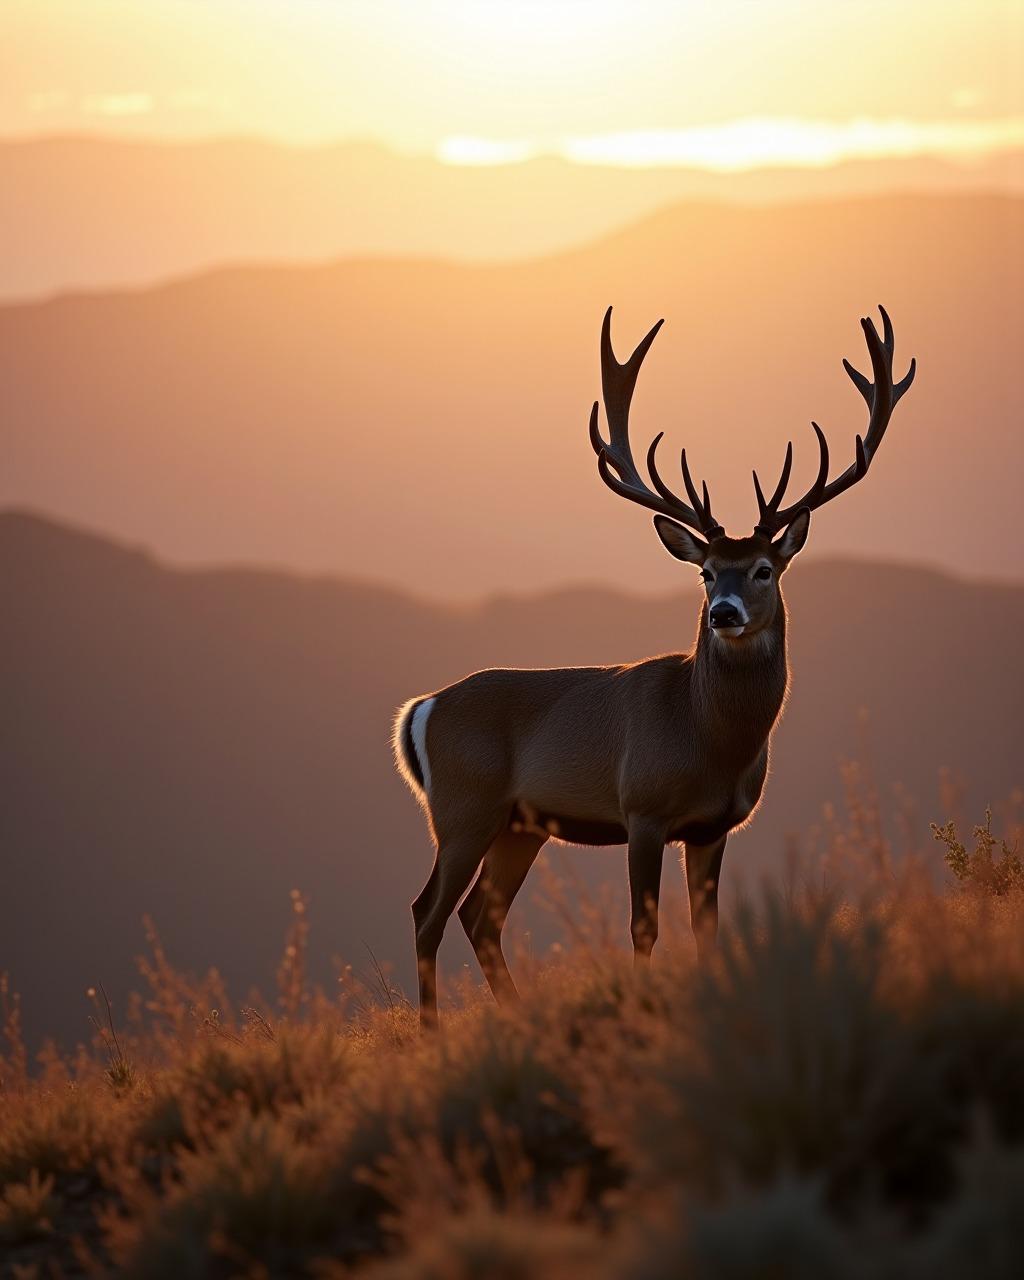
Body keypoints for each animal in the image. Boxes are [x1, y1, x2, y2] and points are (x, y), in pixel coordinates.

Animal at [394, 305, 915, 1027]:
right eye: (705, 572)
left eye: (763, 569)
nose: (723, 613)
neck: (709, 741)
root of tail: (422, 710)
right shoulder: (640, 807)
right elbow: (644, 926)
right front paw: (642, 1006)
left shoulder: (714, 826)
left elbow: (706, 928)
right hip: (463, 806)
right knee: (428, 911)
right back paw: (431, 1031)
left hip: (518, 825)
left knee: (479, 916)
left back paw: (513, 1014)